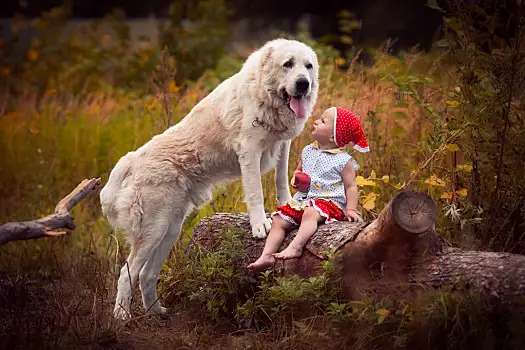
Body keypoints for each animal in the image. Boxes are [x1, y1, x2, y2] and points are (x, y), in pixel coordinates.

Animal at [99, 39, 320, 320]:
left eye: (308, 66)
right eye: (288, 64)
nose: (303, 83)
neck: (264, 94)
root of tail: (132, 159)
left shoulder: (282, 146)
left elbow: (282, 181)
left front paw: (288, 206)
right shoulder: (249, 151)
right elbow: (256, 193)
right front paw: (260, 225)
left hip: (169, 229)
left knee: (147, 275)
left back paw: (156, 312)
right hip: (153, 231)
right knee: (126, 274)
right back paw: (121, 316)